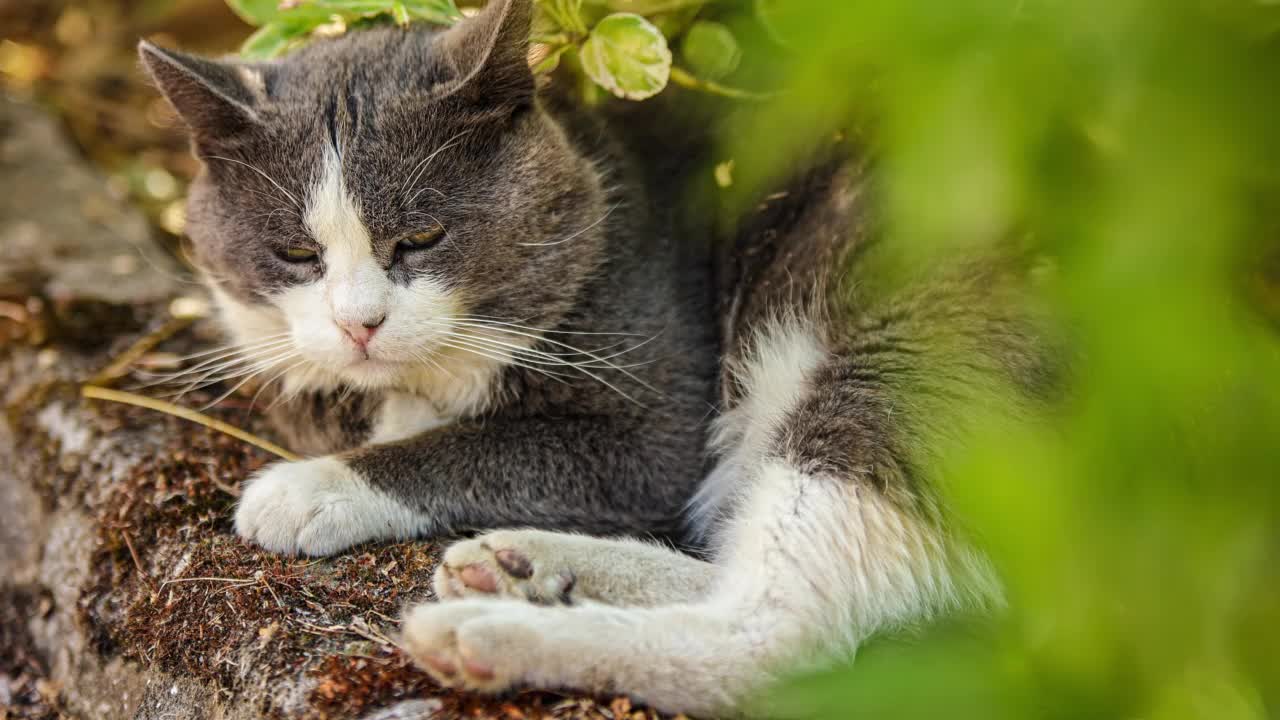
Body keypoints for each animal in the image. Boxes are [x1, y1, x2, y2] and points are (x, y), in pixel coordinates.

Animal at [144, 0, 721, 556]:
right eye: (296, 252)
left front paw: (306, 492)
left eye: (421, 238)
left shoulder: (653, 433)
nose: (360, 324)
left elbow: (488, 449)